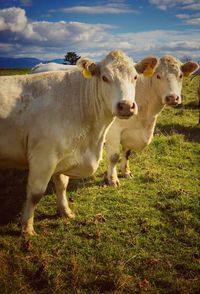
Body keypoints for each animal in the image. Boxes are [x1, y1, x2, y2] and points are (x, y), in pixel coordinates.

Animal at [0, 50, 158, 234]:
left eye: (135, 77)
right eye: (104, 77)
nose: (126, 106)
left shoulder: (62, 155)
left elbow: (62, 185)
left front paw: (65, 211)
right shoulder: (43, 157)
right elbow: (35, 193)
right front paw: (27, 228)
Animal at [104, 55, 198, 186]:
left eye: (180, 75)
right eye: (158, 76)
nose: (172, 98)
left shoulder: (129, 134)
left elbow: (127, 153)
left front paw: (126, 172)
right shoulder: (113, 131)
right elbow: (114, 157)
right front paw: (112, 179)